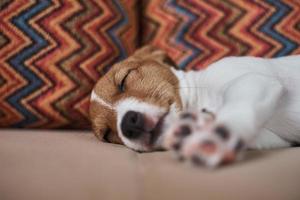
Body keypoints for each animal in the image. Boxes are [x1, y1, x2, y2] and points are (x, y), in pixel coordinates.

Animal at [89, 45, 300, 167]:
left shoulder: (255, 81)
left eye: (124, 80)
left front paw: (214, 136)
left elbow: (237, 110)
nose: (128, 124)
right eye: (107, 134)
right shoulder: (276, 140)